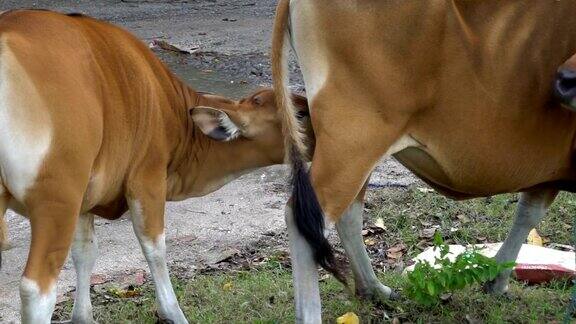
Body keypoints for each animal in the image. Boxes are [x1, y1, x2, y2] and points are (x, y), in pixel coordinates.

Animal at [0, 10, 310, 324]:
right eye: (299, 112)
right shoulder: (145, 178)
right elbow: (155, 246)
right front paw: (173, 312)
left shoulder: (85, 200)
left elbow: (86, 251)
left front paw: (83, 316)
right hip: (56, 202)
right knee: (36, 289)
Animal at [272, 0, 576, 322]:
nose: (565, 82)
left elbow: (528, 212)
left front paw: (496, 280)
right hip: (353, 140)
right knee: (305, 217)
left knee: (346, 213)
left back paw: (374, 289)